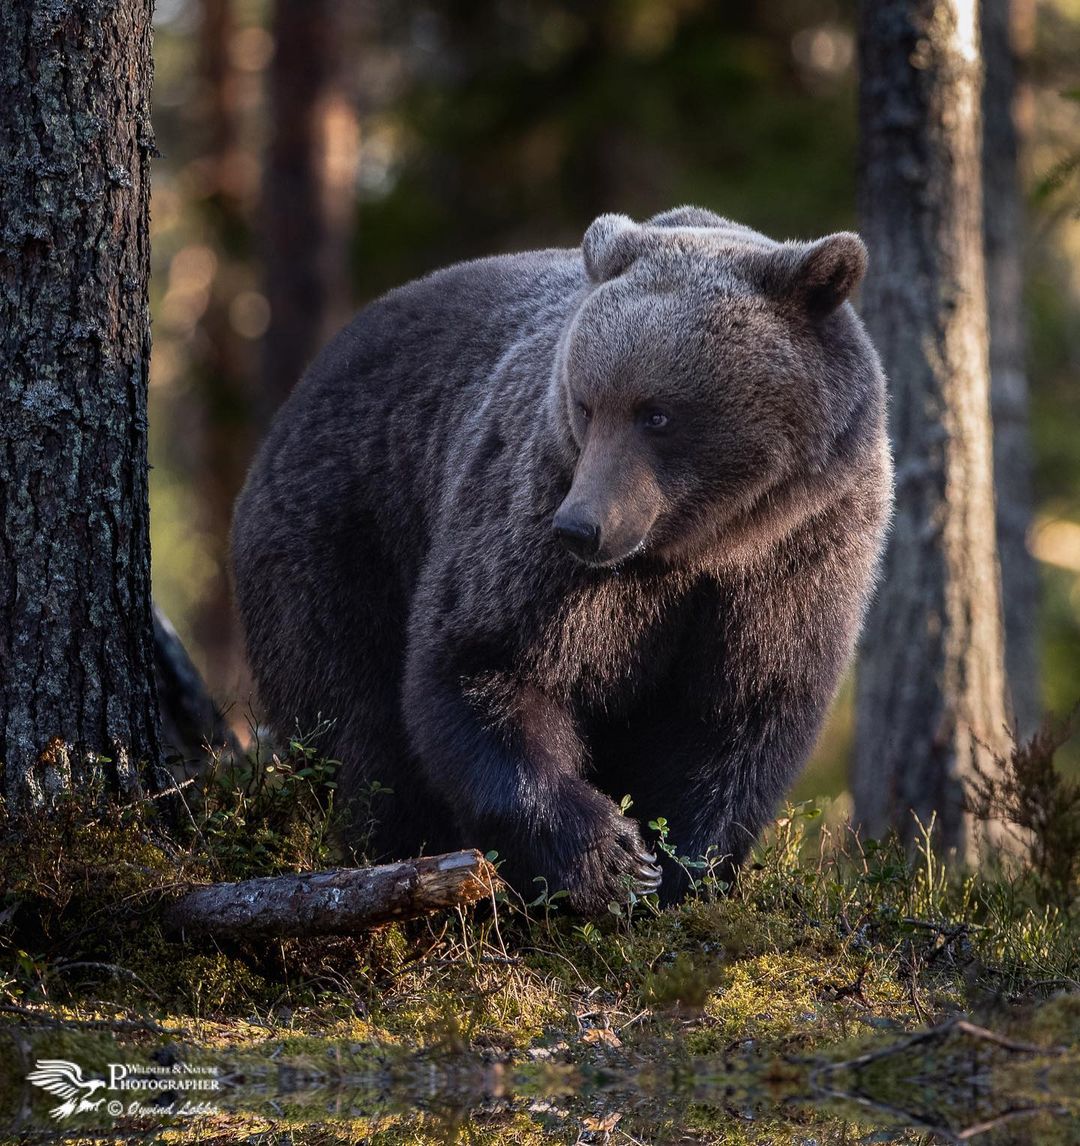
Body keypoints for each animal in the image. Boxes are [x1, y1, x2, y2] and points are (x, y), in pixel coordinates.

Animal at [230, 206, 894, 912]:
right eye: (587, 403)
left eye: (656, 414)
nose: (580, 528)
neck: (702, 542)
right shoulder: (533, 516)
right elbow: (489, 660)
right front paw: (611, 859)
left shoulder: (798, 555)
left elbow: (739, 713)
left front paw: (679, 870)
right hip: (342, 535)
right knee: (356, 721)